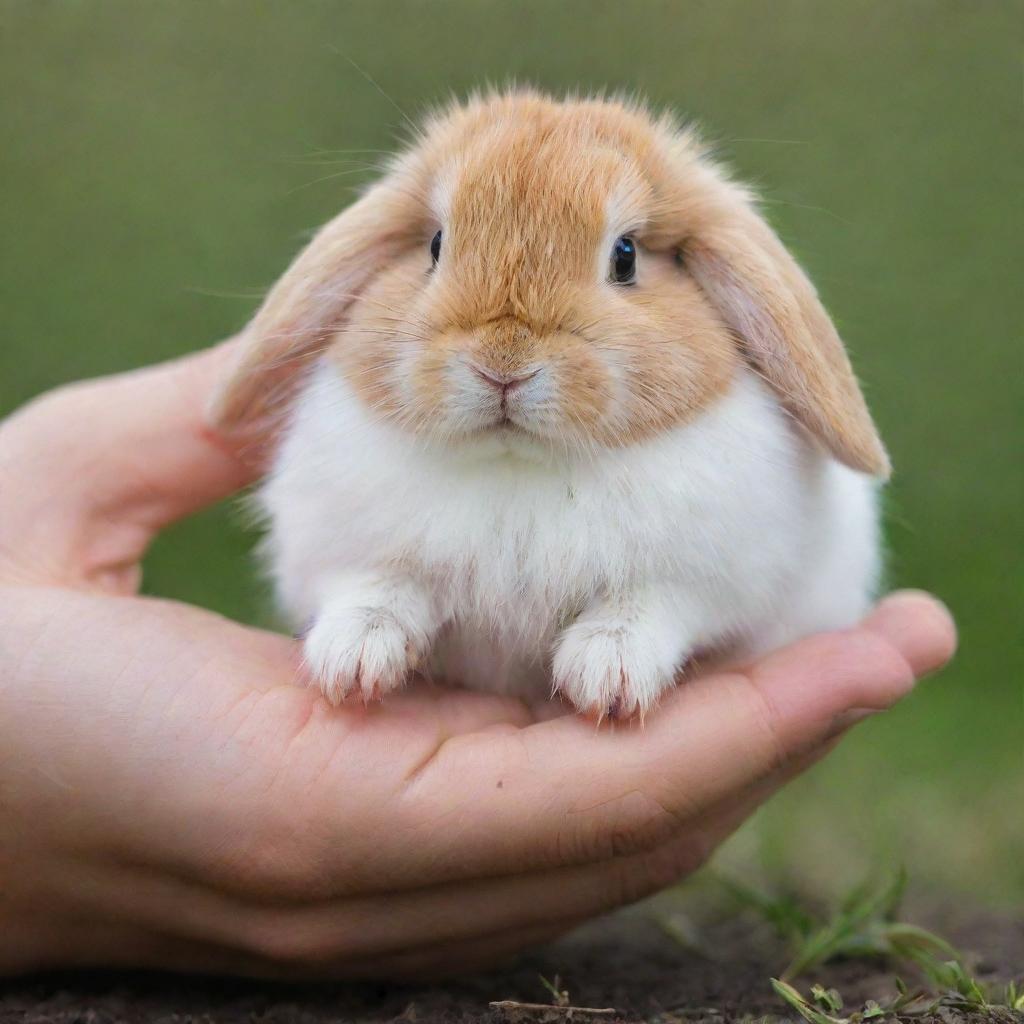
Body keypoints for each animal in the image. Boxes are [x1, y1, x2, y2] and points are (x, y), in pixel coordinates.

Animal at [207, 92, 888, 720]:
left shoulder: (702, 578)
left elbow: (647, 606)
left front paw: (607, 676)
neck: (521, 463)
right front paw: (351, 663)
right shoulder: (348, 551)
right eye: (435, 244)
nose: (503, 365)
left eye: (625, 256)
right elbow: (374, 590)